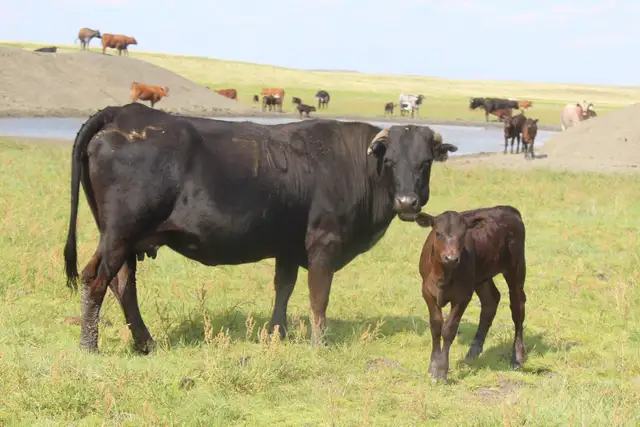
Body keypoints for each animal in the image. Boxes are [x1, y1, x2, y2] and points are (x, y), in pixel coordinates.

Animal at [62, 102, 459, 354]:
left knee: (121, 284)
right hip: (120, 233)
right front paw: (319, 343)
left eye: (425, 163)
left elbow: (283, 288)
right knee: (96, 279)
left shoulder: (288, 245)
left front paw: (276, 333)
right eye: (390, 161)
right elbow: (319, 295)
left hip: (121, 238)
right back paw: (89, 346)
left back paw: (145, 343)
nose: (407, 202)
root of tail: (126, 112)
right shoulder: (324, 241)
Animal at [400, 205, 527, 384]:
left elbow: (449, 329)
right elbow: (435, 326)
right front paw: (433, 366)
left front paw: (441, 371)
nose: (451, 258)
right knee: (490, 301)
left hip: (516, 267)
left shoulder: (463, 295)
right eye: (438, 233)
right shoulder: (427, 290)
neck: (443, 275)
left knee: (517, 306)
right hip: (481, 276)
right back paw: (472, 354)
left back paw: (517, 357)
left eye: (463, 235)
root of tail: (508, 209)